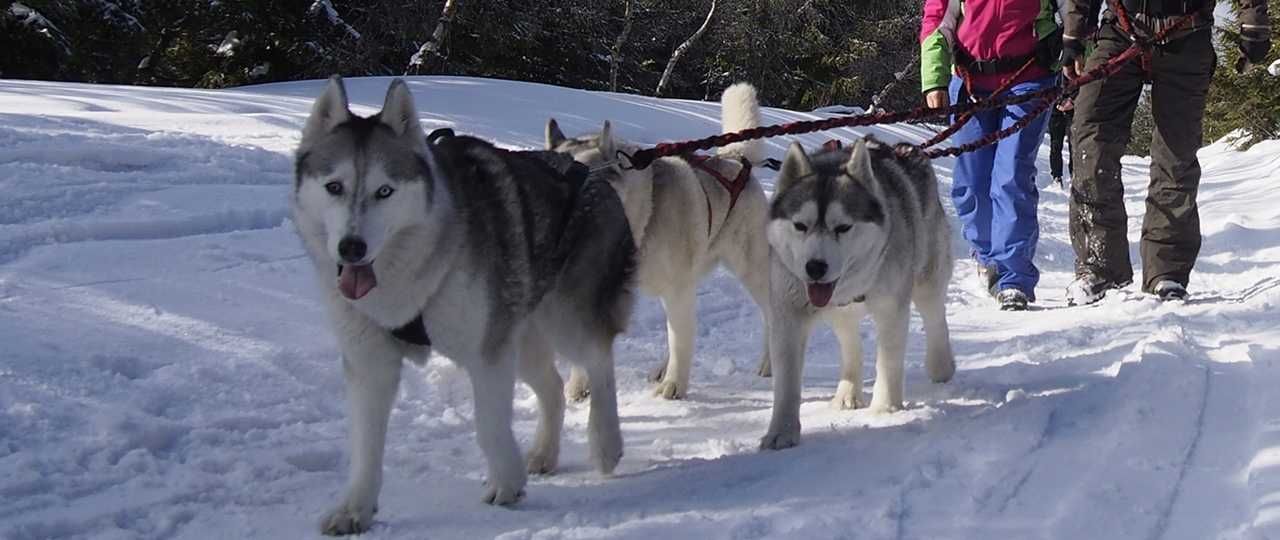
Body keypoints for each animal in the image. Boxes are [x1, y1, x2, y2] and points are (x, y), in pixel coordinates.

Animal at [288, 77, 632, 534]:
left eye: (385, 191)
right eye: (334, 187)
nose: (352, 247)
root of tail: (590, 172)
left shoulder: (486, 353)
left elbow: (488, 425)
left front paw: (506, 484)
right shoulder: (369, 361)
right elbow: (365, 445)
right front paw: (355, 508)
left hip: (566, 318)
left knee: (599, 363)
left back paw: (606, 443)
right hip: (523, 337)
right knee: (554, 387)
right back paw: (544, 452)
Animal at [542, 81, 768, 401]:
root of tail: (734, 158)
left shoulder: (677, 290)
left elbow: (680, 342)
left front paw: (675, 385)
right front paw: (578, 388)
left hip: (750, 272)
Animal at [752, 136, 957, 450]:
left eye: (843, 227)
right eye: (800, 225)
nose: (815, 267)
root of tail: (904, 147)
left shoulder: (891, 309)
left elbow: (888, 361)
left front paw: (886, 410)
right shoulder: (788, 316)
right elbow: (786, 383)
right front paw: (781, 432)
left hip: (927, 281)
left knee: (935, 320)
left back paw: (941, 365)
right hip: (840, 313)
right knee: (851, 344)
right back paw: (847, 391)